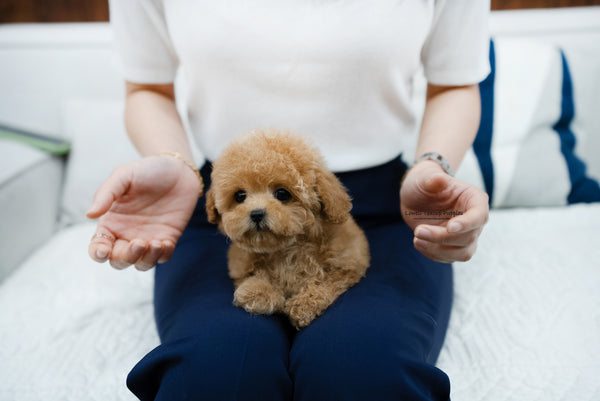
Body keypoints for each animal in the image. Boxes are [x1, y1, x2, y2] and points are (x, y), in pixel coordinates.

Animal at [204, 130, 368, 326]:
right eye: (240, 196)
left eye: (282, 194)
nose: (256, 214)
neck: (285, 250)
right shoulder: (240, 265)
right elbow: (254, 275)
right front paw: (259, 292)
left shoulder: (347, 266)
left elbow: (326, 282)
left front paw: (304, 304)